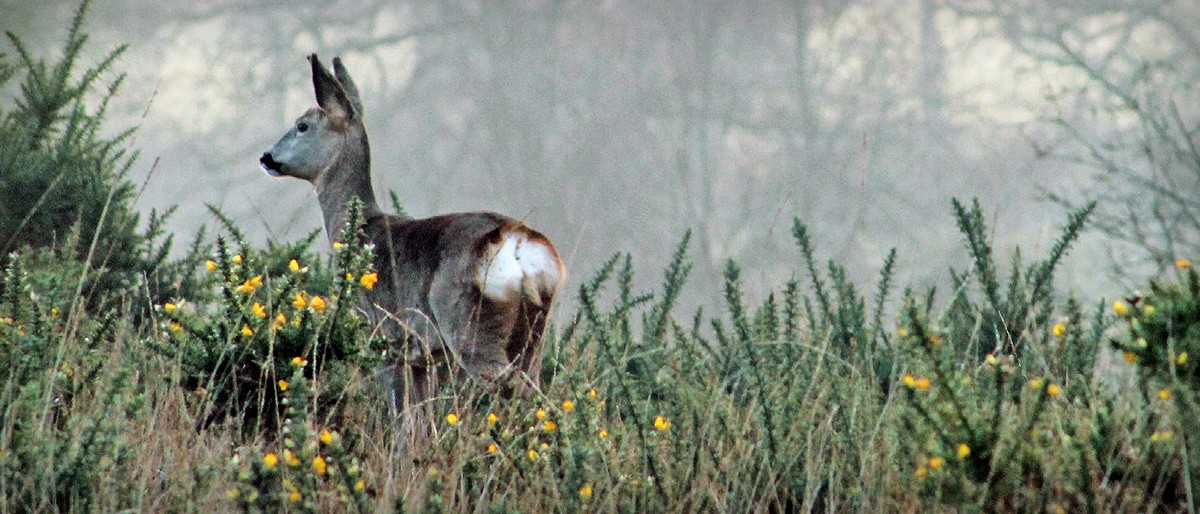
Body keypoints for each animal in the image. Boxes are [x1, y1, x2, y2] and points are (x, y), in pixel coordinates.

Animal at [259, 54, 566, 451]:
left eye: (303, 125)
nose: (267, 157)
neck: (362, 230)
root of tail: (520, 245)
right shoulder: (426, 359)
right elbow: (422, 425)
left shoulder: (383, 341)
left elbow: (403, 425)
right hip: (533, 336)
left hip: (471, 329)